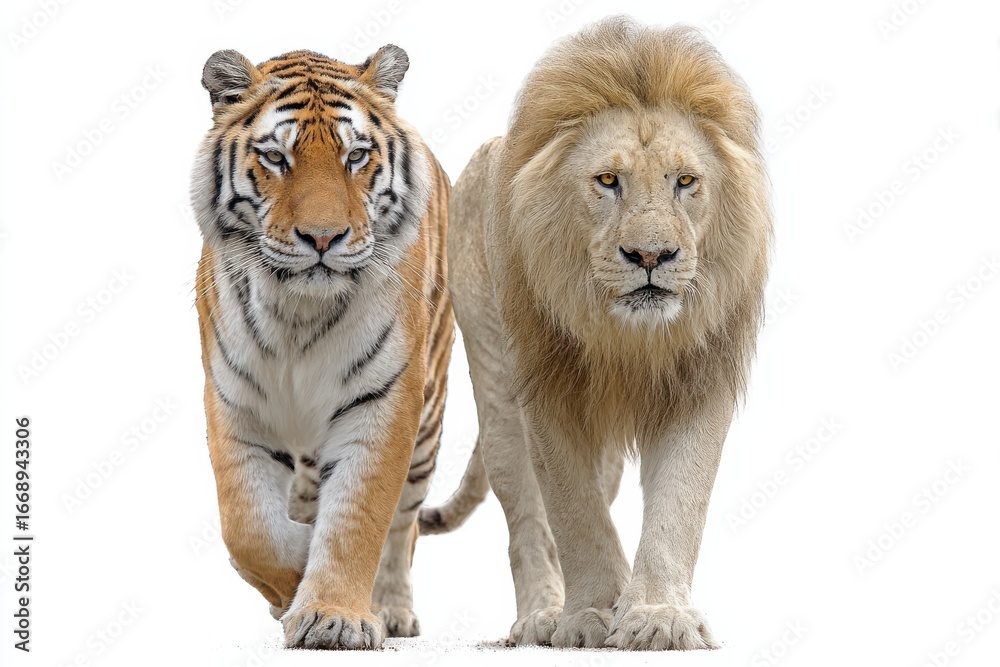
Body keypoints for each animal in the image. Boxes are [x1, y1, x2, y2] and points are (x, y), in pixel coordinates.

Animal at [190, 45, 453, 650]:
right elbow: (248, 526)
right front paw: (293, 587)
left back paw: (392, 609)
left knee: (403, 528)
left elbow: (358, 516)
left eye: (355, 156)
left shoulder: (383, 402)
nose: (323, 238)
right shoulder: (234, 403)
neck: (298, 313)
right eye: (275, 157)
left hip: (427, 427)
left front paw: (336, 616)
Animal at [420, 17, 772, 650]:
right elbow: (573, 510)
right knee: (528, 517)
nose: (652, 256)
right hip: (495, 388)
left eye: (686, 181)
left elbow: (680, 500)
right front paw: (591, 615)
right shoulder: (547, 389)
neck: (627, 337)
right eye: (608, 180)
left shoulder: (700, 379)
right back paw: (541, 616)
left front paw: (657, 615)